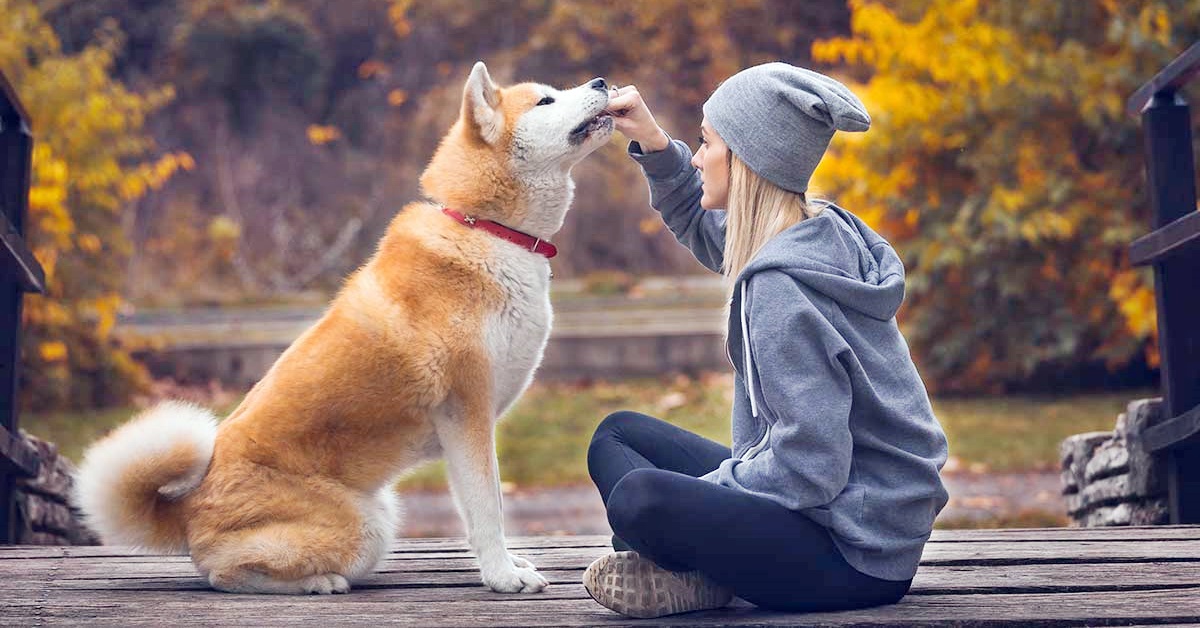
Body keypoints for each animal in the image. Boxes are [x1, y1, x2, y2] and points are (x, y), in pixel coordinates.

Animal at [73, 62, 614, 595]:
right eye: (545, 100)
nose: (602, 82)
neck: (485, 228)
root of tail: (187, 509)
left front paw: (508, 566)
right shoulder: (467, 414)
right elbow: (488, 509)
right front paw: (503, 577)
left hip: (381, 510)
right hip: (365, 526)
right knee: (224, 572)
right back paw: (319, 582)